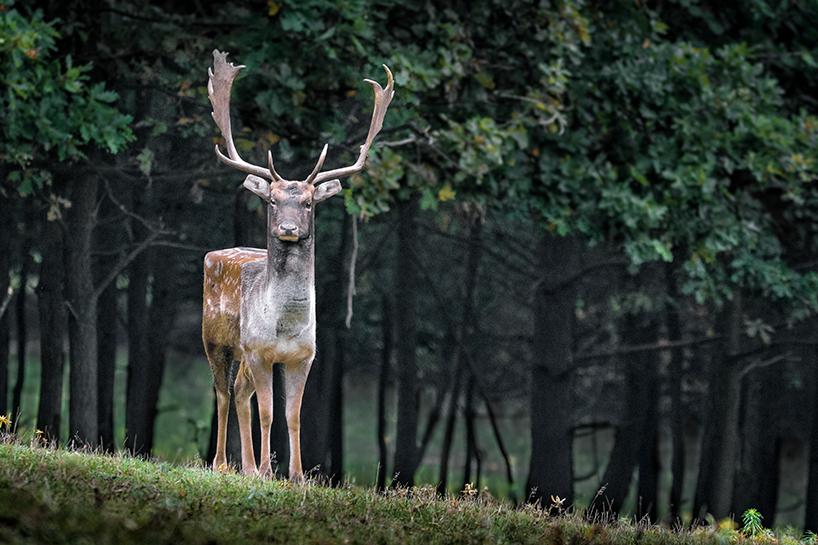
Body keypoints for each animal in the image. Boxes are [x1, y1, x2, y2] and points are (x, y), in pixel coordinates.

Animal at [204, 49, 396, 478]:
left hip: (241, 353)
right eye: (272, 200)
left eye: (308, 202)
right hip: (216, 340)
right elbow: (268, 413)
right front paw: (268, 471)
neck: (285, 327)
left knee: (238, 392)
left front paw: (296, 475)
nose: (289, 228)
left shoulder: (304, 356)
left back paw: (245, 466)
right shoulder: (259, 350)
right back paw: (223, 464)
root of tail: (214, 254)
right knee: (223, 393)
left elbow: (292, 416)